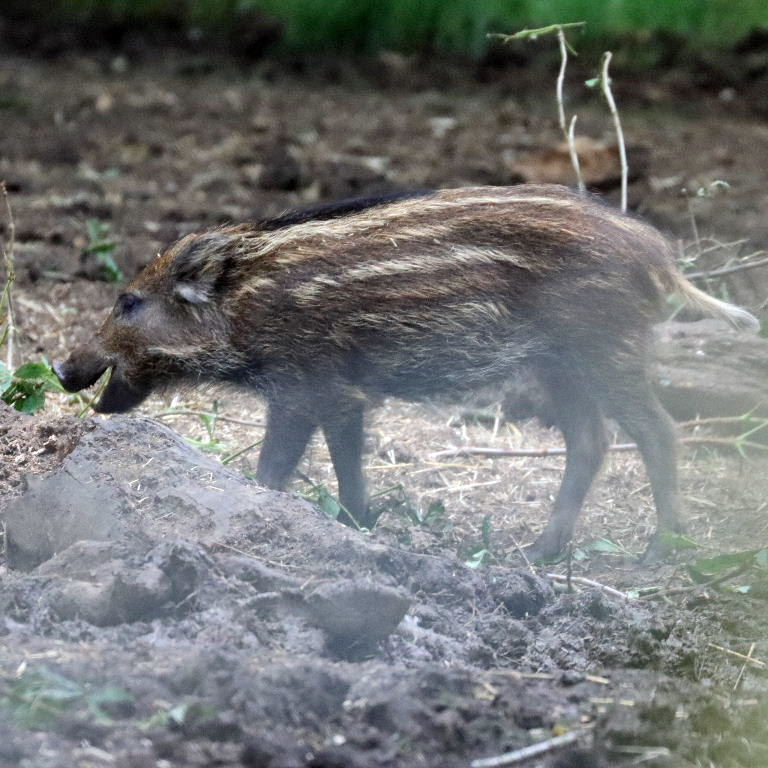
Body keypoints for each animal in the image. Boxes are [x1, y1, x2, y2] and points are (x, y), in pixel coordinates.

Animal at [55, 185, 758, 561]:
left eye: (128, 302)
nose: (60, 366)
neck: (243, 309)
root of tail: (662, 258)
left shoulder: (307, 384)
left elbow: (276, 466)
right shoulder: (340, 395)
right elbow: (344, 460)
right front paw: (361, 525)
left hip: (605, 351)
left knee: (658, 433)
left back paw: (661, 553)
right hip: (557, 365)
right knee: (591, 440)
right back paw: (538, 552)